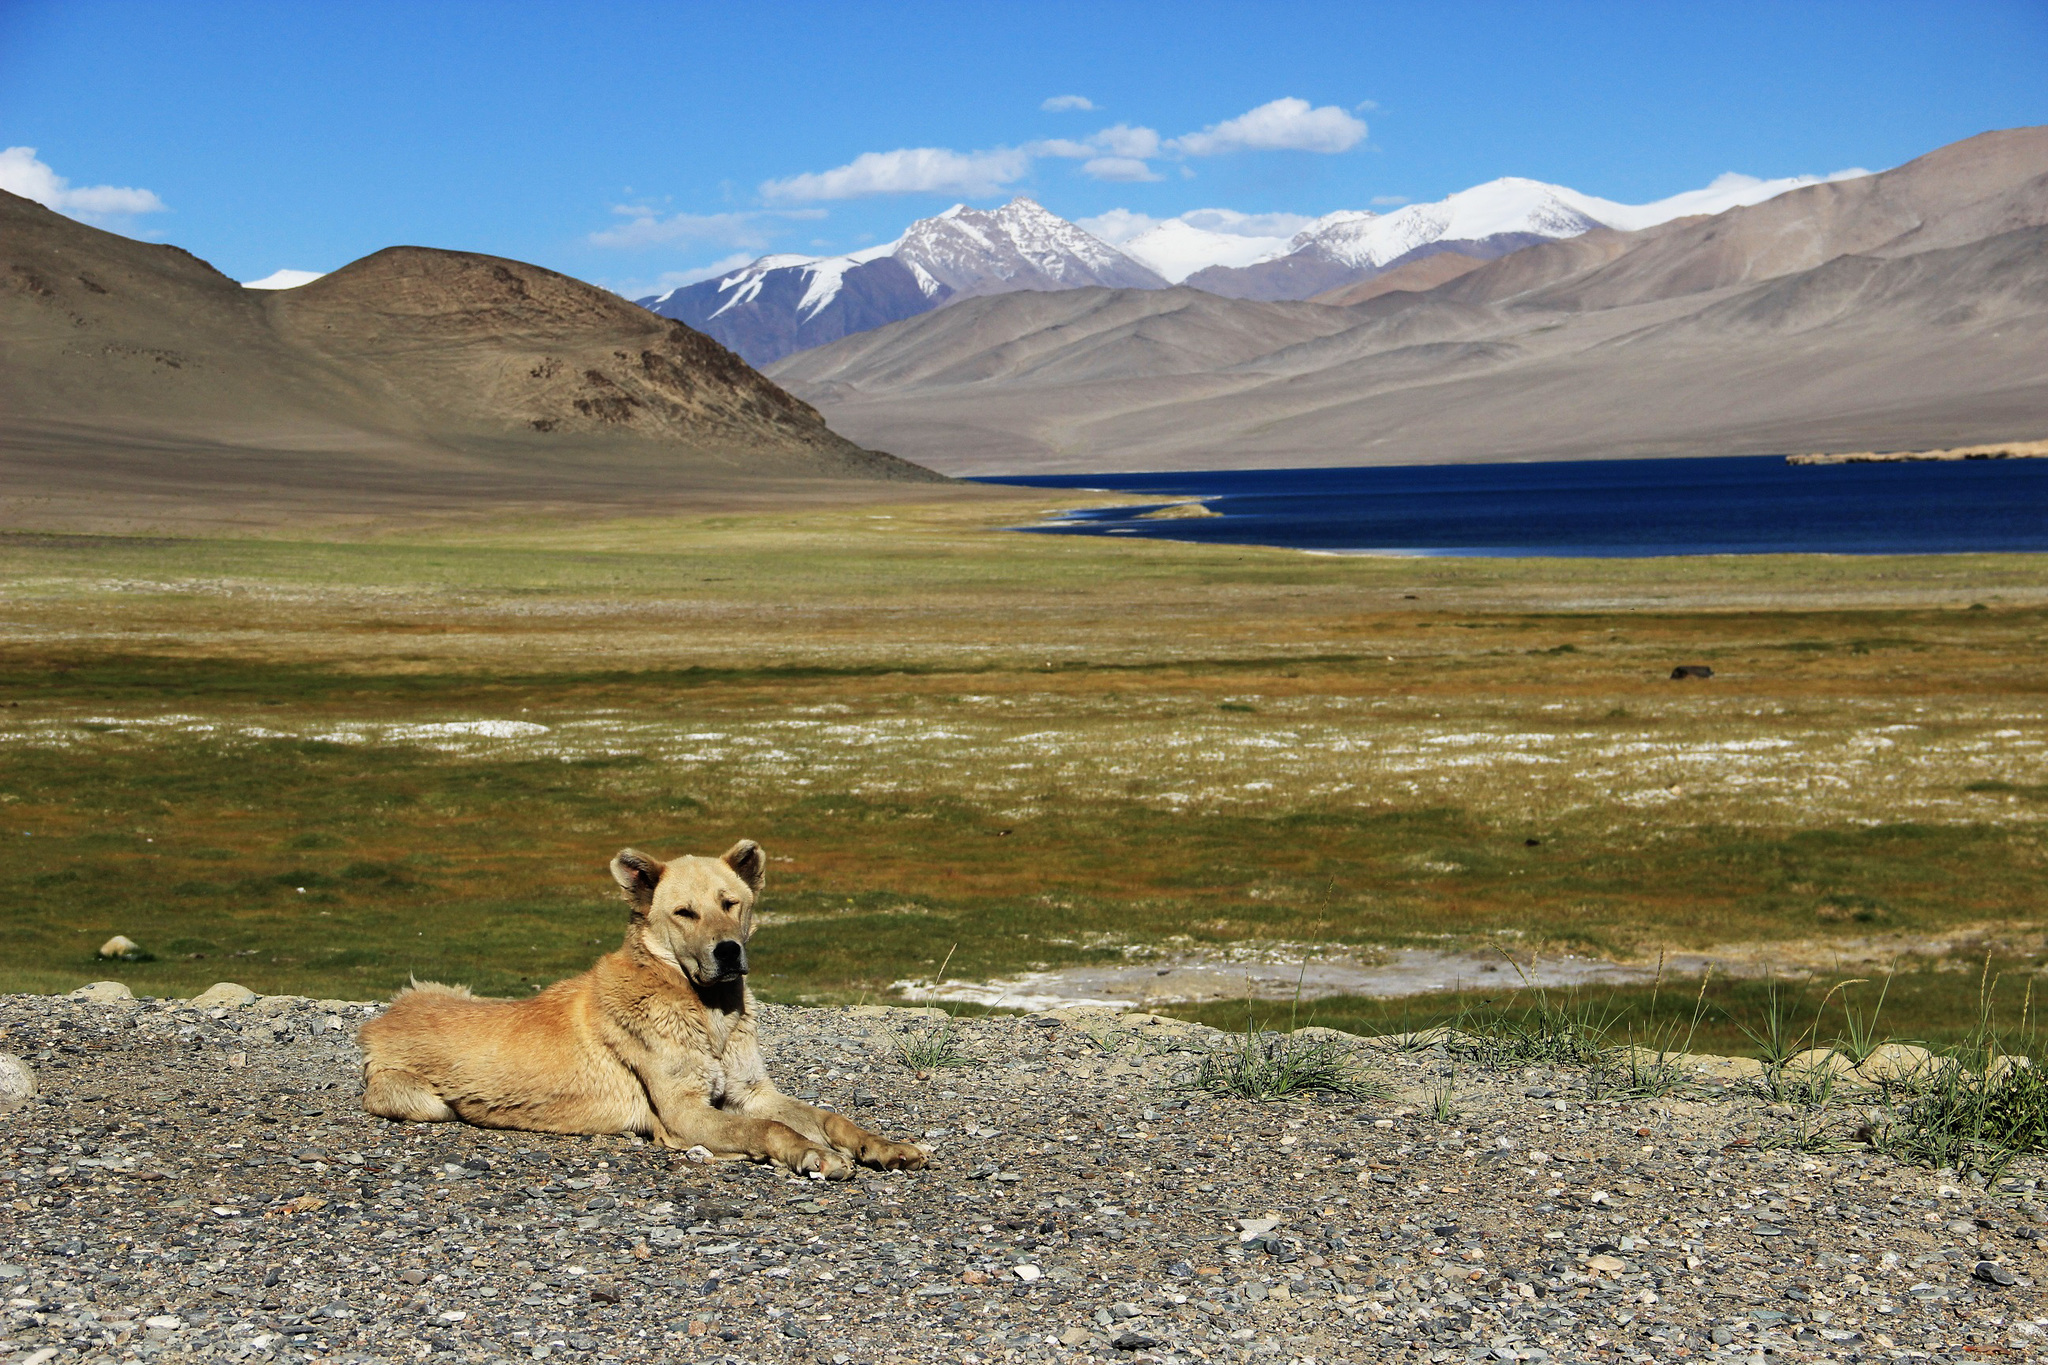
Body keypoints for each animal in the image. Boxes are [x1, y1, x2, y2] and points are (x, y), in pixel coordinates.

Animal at [356, 839, 925, 1178]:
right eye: (684, 912)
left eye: (731, 903)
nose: (728, 952)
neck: (709, 1014)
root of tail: (381, 1020)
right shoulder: (683, 1112)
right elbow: (768, 1130)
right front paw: (812, 1154)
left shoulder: (752, 1092)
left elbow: (828, 1116)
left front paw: (881, 1145)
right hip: (423, 1101)